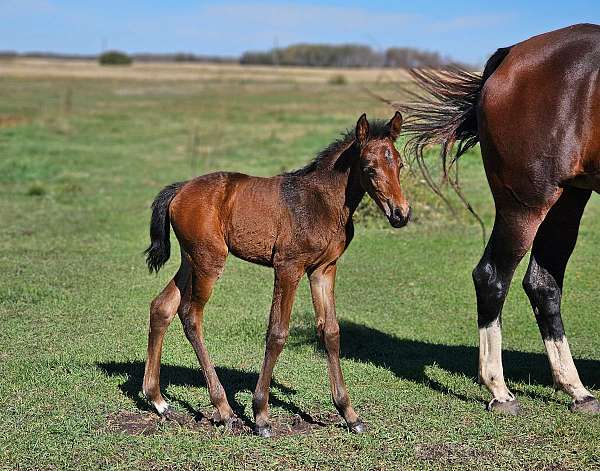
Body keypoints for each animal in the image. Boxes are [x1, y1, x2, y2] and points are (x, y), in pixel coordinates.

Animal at [142, 112, 410, 436]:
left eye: (400, 164)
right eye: (370, 168)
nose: (400, 214)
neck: (323, 201)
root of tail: (180, 189)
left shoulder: (323, 269)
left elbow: (331, 332)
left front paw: (349, 413)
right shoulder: (288, 267)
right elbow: (277, 333)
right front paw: (261, 415)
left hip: (190, 260)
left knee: (162, 306)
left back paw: (159, 401)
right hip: (209, 261)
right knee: (190, 315)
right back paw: (223, 409)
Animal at [398, 24, 600, 414]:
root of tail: (511, 55)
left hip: (567, 197)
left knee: (543, 283)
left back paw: (577, 390)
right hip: (525, 204)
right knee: (491, 276)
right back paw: (499, 389)